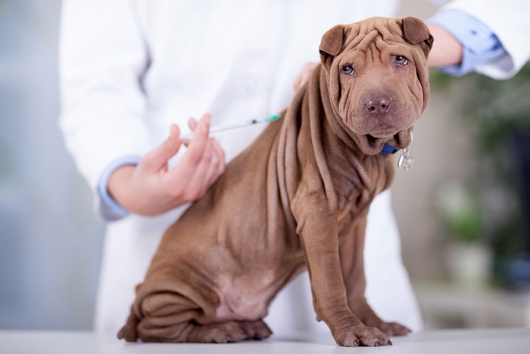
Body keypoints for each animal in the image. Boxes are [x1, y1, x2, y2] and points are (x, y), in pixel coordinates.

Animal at [117, 15, 432, 346]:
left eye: (400, 60)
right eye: (347, 69)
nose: (377, 103)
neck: (368, 150)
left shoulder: (356, 222)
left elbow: (355, 278)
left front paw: (375, 322)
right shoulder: (317, 210)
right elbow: (331, 281)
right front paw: (352, 330)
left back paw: (246, 326)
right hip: (188, 284)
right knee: (157, 327)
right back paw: (219, 330)